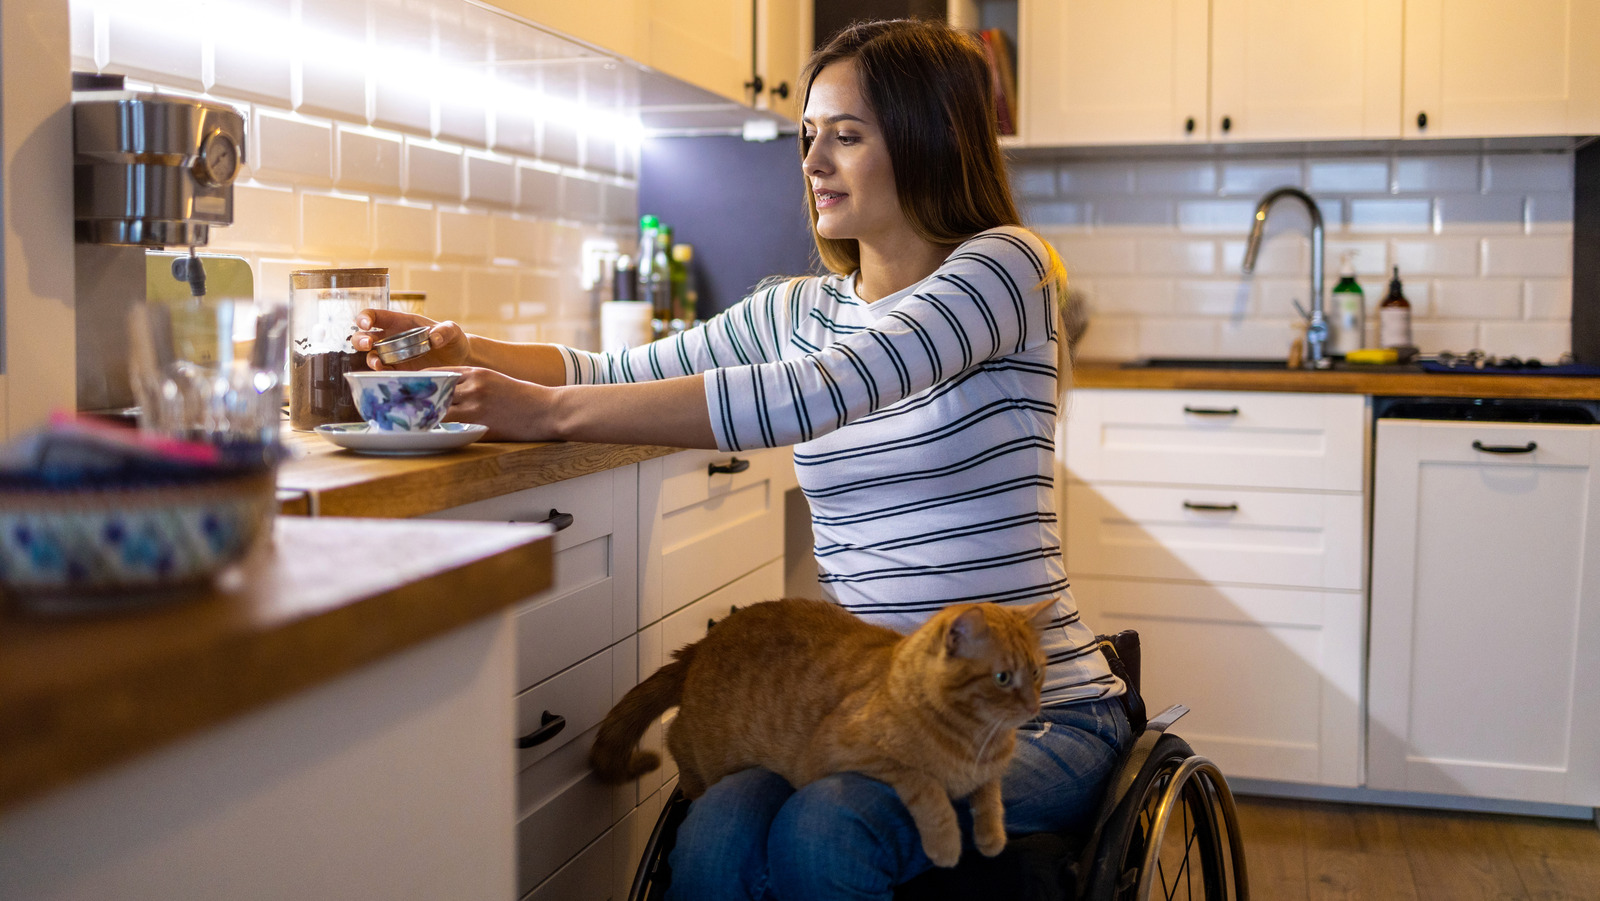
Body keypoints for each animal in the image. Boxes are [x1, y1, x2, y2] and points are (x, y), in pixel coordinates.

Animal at [585, 598, 1049, 864]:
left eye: (1037, 672)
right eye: (1003, 678)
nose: (1033, 706)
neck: (975, 737)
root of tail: (705, 641)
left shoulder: (989, 772)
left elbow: (990, 794)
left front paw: (991, 837)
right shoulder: (841, 752)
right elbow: (926, 784)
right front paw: (947, 844)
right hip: (703, 746)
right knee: (675, 740)